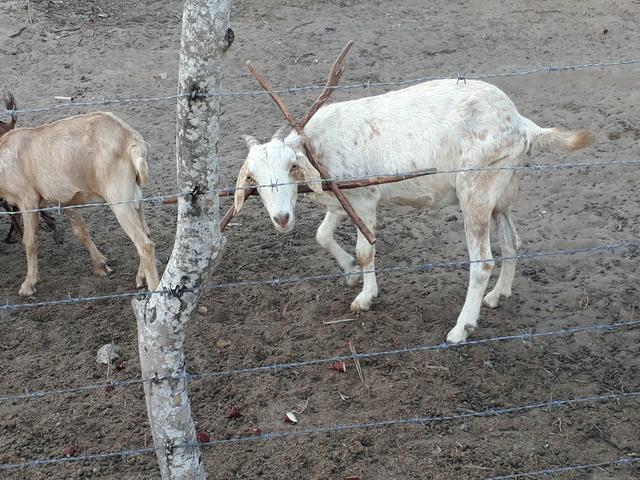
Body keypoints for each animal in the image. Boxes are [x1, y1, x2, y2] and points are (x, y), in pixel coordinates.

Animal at [0, 111, 159, 296]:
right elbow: (80, 231)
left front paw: (28, 284)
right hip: (135, 194)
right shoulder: (66, 200)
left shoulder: (27, 199)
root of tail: (132, 139)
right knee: (146, 232)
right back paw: (141, 277)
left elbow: (29, 240)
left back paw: (155, 290)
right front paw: (101, 265)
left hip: (119, 198)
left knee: (144, 244)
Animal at [234, 79, 593, 343]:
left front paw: (365, 296)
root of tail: (522, 125)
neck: (316, 146)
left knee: (482, 263)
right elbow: (322, 235)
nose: (281, 219)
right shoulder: (342, 197)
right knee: (512, 241)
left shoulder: (365, 199)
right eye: (253, 179)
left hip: (475, 188)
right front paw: (349, 271)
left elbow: (365, 251)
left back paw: (460, 329)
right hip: (501, 191)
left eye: (291, 167)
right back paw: (498, 295)